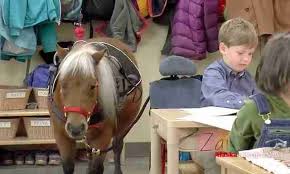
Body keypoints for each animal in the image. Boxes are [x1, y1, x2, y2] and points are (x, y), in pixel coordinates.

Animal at [48, 37, 143, 173]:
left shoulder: (103, 137)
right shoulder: (61, 136)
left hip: (123, 125)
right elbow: (68, 166)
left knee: (117, 146)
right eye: (63, 84)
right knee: (90, 152)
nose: (76, 128)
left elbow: (97, 168)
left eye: (93, 86)